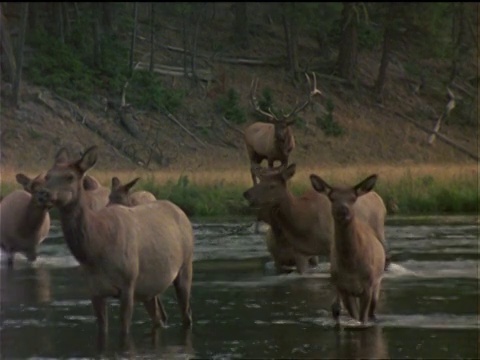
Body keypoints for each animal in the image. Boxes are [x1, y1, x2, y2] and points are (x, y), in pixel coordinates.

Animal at [37, 146, 195, 344]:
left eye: (70, 176)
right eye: (47, 175)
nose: (42, 194)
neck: (95, 250)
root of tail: (181, 211)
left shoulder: (128, 284)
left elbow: (124, 330)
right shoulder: (95, 290)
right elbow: (102, 329)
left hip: (185, 267)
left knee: (186, 315)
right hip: (149, 289)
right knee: (158, 319)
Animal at [242, 163, 388, 276]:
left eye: (272, 185)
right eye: (260, 181)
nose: (246, 194)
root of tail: (378, 197)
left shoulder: (330, 245)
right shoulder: (300, 252)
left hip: (379, 232)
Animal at [312, 173, 386, 324]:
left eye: (353, 198)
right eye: (332, 197)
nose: (343, 210)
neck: (351, 267)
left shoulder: (368, 286)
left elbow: (363, 319)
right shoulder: (343, 288)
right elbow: (355, 316)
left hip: (377, 283)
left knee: (372, 312)